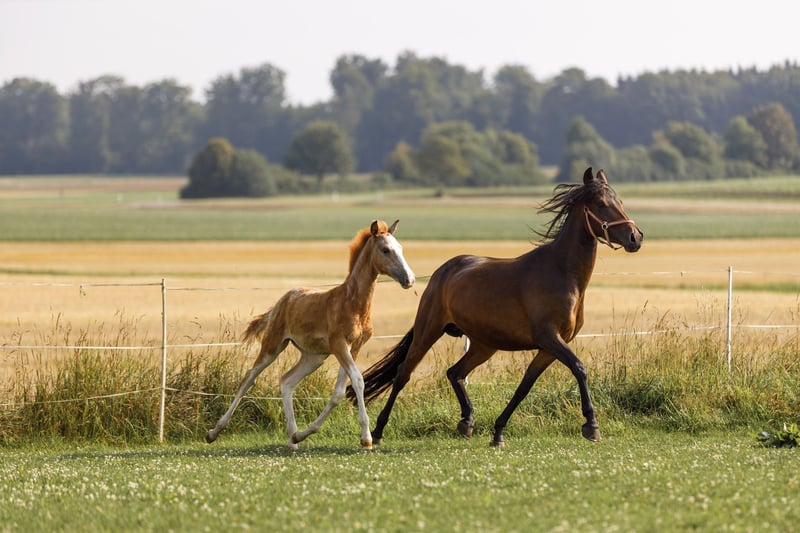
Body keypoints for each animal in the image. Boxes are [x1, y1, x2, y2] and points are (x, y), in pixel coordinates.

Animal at [205, 220, 415, 449]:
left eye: (401, 248)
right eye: (385, 250)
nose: (409, 279)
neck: (353, 303)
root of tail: (282, 301)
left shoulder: (354, 347)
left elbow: (339, 392)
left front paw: (304, 434)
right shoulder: (339, 345)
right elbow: (358, 381)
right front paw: (366, 438)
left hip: (314, 357)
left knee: (286, 381)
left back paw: (293, 439)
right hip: (273, 345)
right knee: (249, 378)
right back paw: (213, 433)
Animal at [349, 168, 643, 446]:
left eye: (620, 201)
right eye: (602, 204)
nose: (635, 237)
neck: (561, 273)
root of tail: (443, 271)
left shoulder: (549, 347)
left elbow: (525, 385)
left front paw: (498, 432)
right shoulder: (549, 338)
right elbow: (579, 368)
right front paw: (591, 426)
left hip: (484, 344)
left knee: (455, 372)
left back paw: (466, 422)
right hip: (429, 330)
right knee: (403, 374)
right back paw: (378, 431)